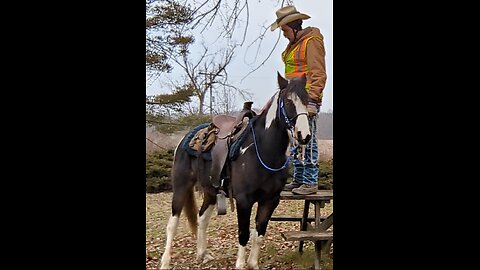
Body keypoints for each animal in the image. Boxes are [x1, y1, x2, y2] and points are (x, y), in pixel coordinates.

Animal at [159, 73, 314, 268]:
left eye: (307, 100)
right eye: (287, 100)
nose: (304, 135)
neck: (263, 151)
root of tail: (185, 138)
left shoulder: (270, 201)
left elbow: (259, 234)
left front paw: (253, 264)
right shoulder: (244, 200)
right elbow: (244, 234)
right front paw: (240, 264)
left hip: (210, 191)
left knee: (202, 218)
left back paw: (203, 254)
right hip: (181, 186)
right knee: (172, 224)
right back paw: (165, 262)